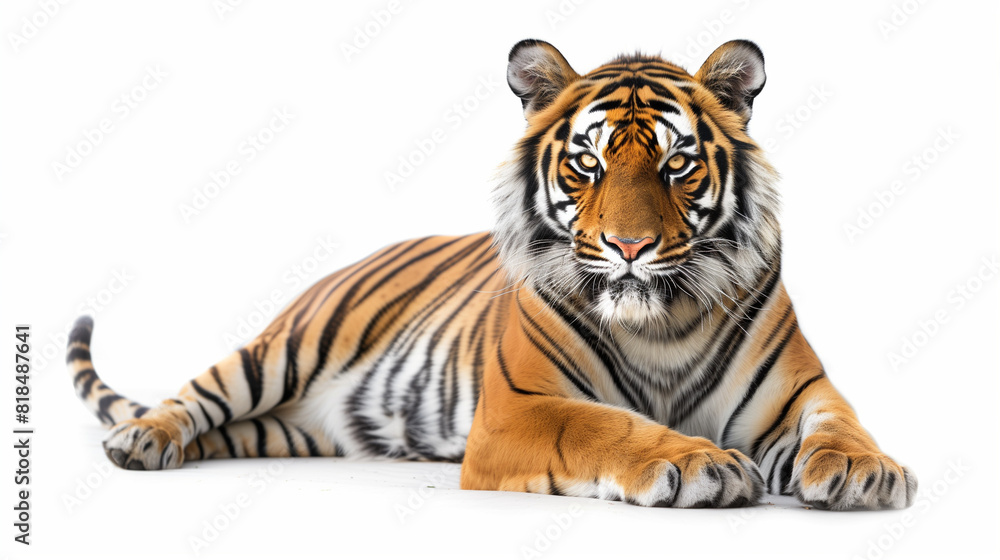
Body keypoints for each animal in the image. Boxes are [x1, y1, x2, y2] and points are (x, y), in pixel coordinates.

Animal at [67, 38, 916, 510]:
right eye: (588, 164)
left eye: (677, 165)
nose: (630, 246)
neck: (661, 324)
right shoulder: (520, 409)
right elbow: (606, 425)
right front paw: (696, 462)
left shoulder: (800, 393)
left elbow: (840, 424)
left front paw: (865, 470)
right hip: (286, 349)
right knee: (196, 395)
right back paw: (143, 440)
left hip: (291, 429)